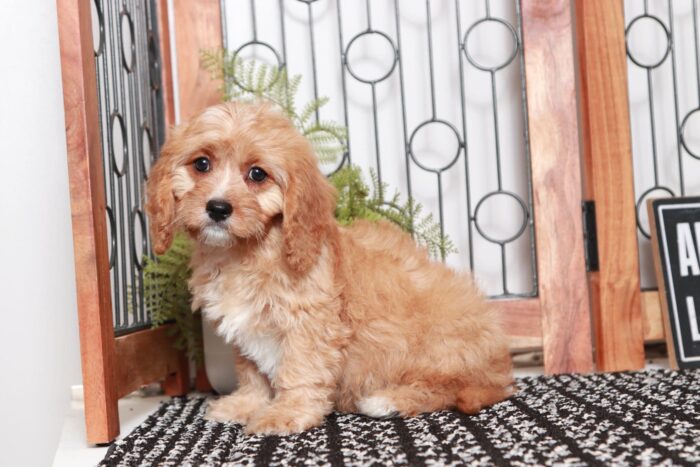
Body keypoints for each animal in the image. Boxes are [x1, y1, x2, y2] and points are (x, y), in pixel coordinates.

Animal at [145, 101, 516, 436]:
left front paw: (285, 414)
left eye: (257, 174)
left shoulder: (308, 324)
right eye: (201, 164)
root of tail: (501, 368)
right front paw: (245, 404)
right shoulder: (247, 330)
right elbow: (252, 372)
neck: (246, 250)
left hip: (442, 346)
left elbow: (299, 371)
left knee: (448, 388)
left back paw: (388, 400)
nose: (218, 208)